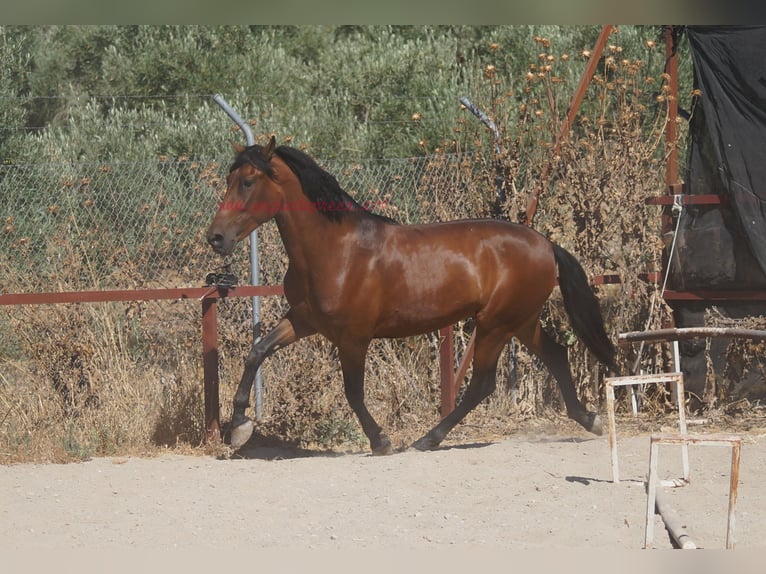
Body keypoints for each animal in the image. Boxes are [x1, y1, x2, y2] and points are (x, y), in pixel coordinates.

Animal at [206, 136, 618, 455]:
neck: (335, 250)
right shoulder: (306, 319)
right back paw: (590, 420)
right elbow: (257, 352)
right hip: (520, 321)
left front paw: (381, 441)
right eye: (230, 179)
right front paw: (239, 426)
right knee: (556, 355)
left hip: (496, 324)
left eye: (247, 182)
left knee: (482, 384)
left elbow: (353, 391)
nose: (216, 238)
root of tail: (546, 244)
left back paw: (427, 439)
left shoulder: (353, 337)